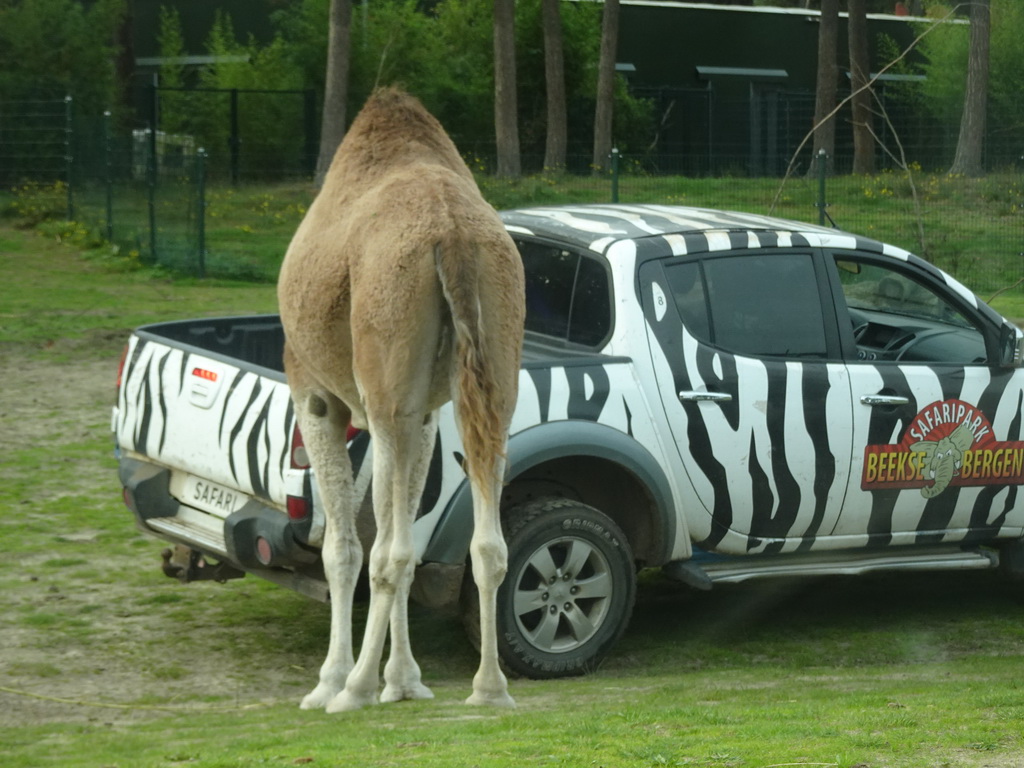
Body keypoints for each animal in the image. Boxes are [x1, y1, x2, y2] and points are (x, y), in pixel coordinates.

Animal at [276, 87, 524, 712]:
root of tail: (453, 236)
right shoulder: (426, 413)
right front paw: (406, 680)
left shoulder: (316, 394)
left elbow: (343, 549)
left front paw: (332, 681)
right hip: (494, 379)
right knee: (484, 544)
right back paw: (489, 688)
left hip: (383, 393)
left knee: (386, 552)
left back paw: (354, 690)